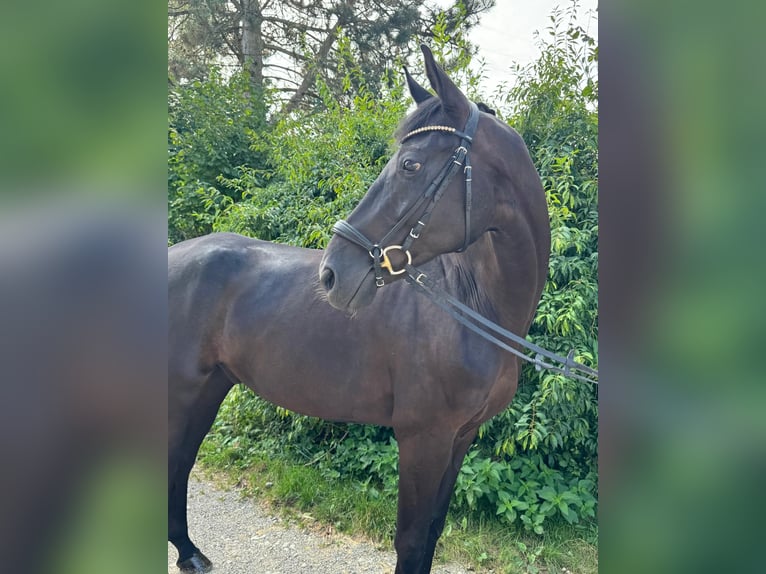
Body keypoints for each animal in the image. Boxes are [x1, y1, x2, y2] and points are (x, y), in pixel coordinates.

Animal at [170, 45, 552, 574]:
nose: (332, 274)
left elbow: (431, 534)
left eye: (410, 165)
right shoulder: (423, 437)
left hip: (209, 387)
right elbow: (410, 541)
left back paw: (189, 553)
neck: (474, 304)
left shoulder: (459, 438)